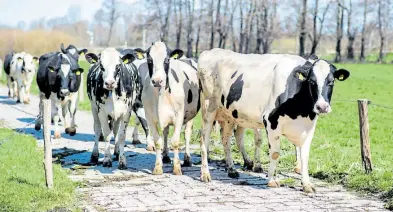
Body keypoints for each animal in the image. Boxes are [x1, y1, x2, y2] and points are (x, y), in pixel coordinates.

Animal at [138, 41, 199, 176]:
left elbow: (175, 141)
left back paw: (187, 159)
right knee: (165, 132)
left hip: (191, 115)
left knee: (187, 134)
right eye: (149, 60)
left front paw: (176, 168)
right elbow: (157, 141)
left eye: (166, 60)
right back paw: (165, 156)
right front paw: (157, 167)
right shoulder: (149, 116)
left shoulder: (179, 115)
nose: (157, 81)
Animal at [196, 48, 350, 193]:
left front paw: (307, 184)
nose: (322, 107)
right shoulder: (271, 121)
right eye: (311, 81)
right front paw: (272, 180)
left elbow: (304, 156)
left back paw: (231, 169)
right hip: (208, 108)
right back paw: (205, 174)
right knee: (204, 139)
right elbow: (275, 153)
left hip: (228, 114)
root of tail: (211, 51)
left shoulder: (308, 128)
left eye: (331, 82)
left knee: (226, 139)